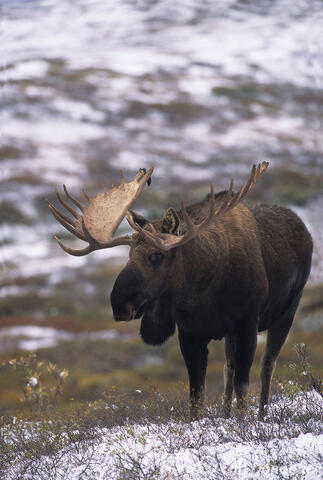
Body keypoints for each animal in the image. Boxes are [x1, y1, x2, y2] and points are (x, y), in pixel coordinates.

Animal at [48, 163, 314, 418]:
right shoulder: (189, 333)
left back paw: (261, 415)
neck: (202, 291)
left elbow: (243, 386)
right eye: (129, 254)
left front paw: (242, 424)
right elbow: (196, 395)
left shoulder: (247, 324)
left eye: (157, 255)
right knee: (228, 367)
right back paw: (226, 413)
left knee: (267, 365)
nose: (119, 304)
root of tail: (304, 228)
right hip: (233, 334)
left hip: (287, 312)